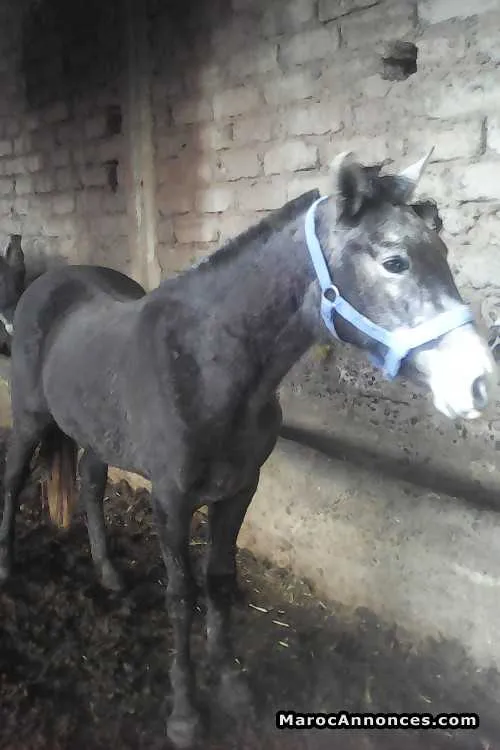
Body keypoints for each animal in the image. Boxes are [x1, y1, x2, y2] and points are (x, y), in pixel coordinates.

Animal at [0, 150, 495, 748]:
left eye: (442, 252)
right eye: (394, 261)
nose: (477, 383)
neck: (205, 363)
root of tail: (46, 285)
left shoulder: (239, 489)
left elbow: (218, 582)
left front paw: (231, 682)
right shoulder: (171, 499)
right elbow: (181, 596)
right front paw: (185, 713)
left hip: (95, 431)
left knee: (91, 484)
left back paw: (109, 574)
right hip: (30, 419)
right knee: (14, 480)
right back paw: (7, 570)